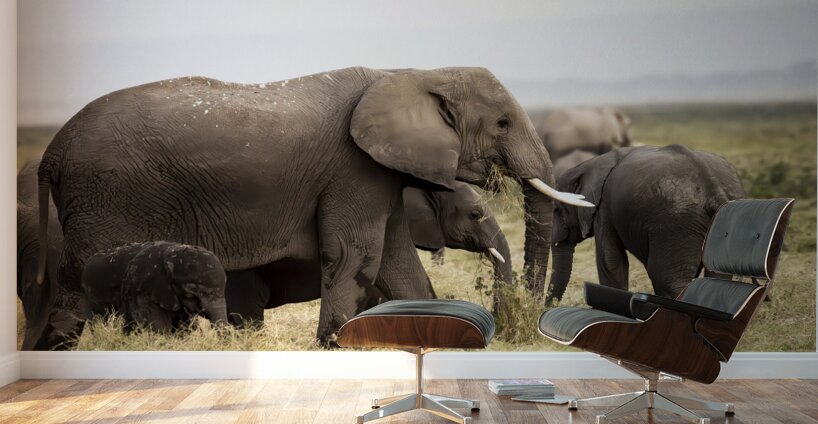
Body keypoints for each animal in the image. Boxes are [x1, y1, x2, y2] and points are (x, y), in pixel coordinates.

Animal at [547, 144, 744, 303]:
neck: (590, 163)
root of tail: (713, 188)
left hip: (674, 222)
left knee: (667, 278)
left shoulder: (604, 210)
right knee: (717, 277)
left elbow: (610, 261)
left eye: (557, 209)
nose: (547, 306)